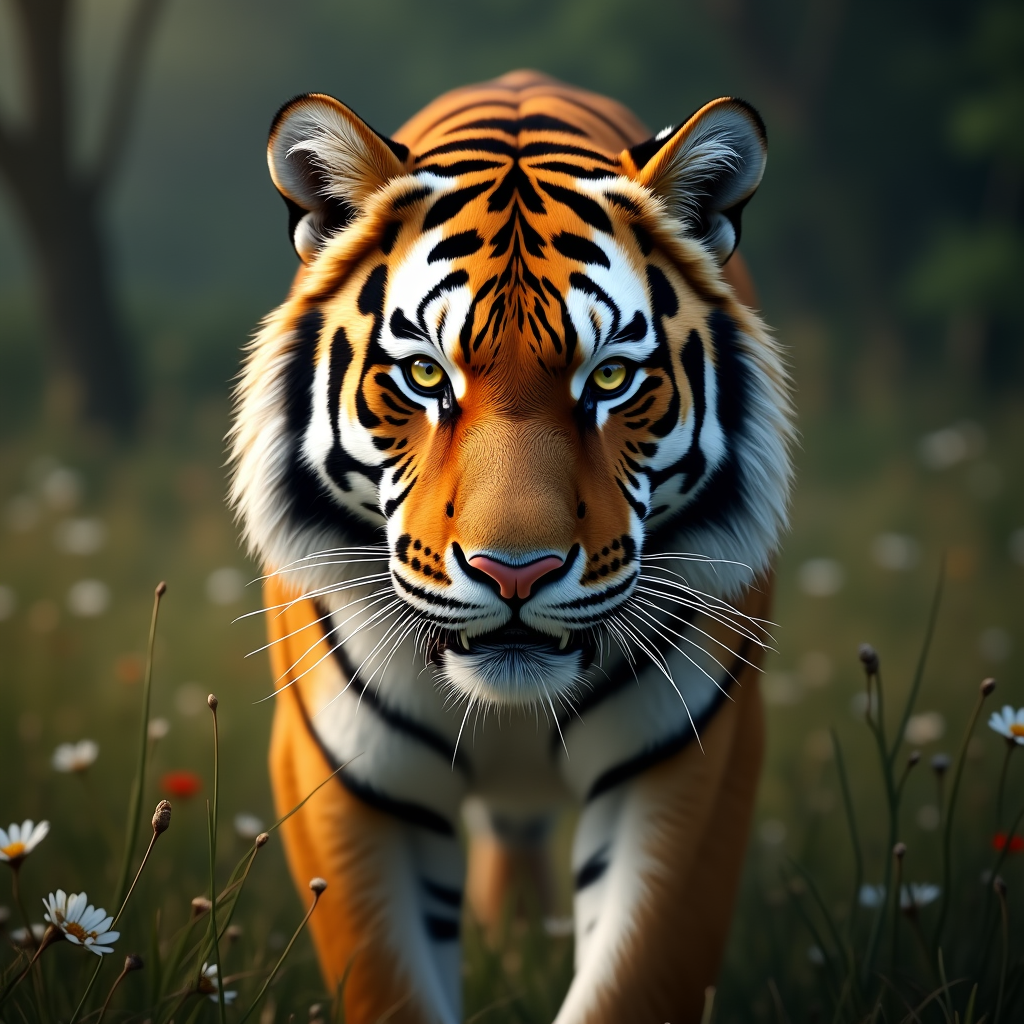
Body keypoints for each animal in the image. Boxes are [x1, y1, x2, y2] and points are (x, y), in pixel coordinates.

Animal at [229, 70, 793, 1023]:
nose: (515, 573)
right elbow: (391, 988)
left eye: (611, 377)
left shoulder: (690, 766)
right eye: (425, 375)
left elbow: (636, 978)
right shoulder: (346, 780)